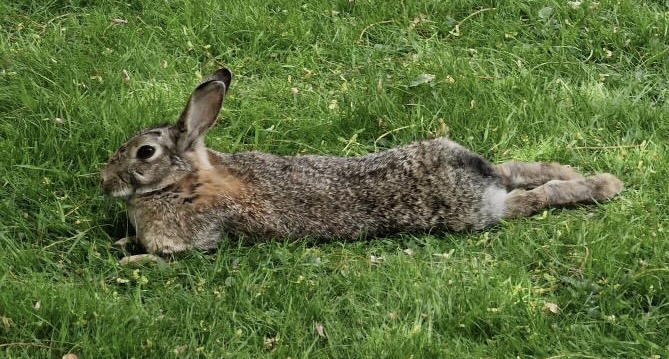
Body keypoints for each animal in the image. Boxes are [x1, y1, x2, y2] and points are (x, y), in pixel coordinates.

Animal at [102, 68, 624, 264]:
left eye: (144, 153)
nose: (105, 182)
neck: (180, 182)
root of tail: (478, 175)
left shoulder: (197, 242)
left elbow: (165, 259)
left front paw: (130, 258)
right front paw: (125, 241)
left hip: (476, 213)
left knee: (529, 200)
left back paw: (600, 186)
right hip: (484, 173)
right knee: (518, 170)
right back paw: (586, 176)